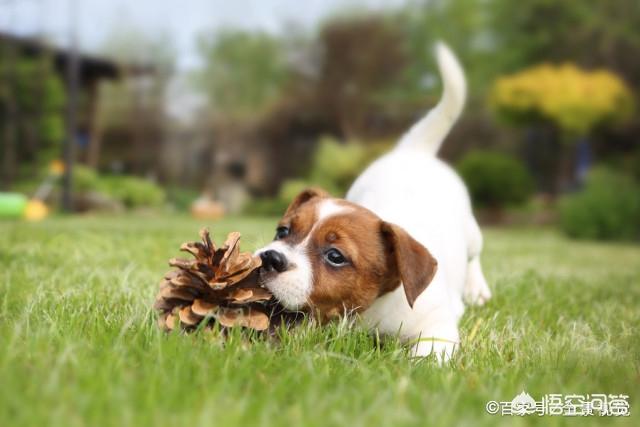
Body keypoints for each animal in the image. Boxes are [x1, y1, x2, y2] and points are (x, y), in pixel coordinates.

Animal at [255, 43, 490, 360]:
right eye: (282, 231)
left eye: (335, 256)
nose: (269, 258)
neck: (369, 311)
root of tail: (414, 151)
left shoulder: (436, 327)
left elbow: (428, 355)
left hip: (471, 231)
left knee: (475, 255)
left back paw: (477, 289)